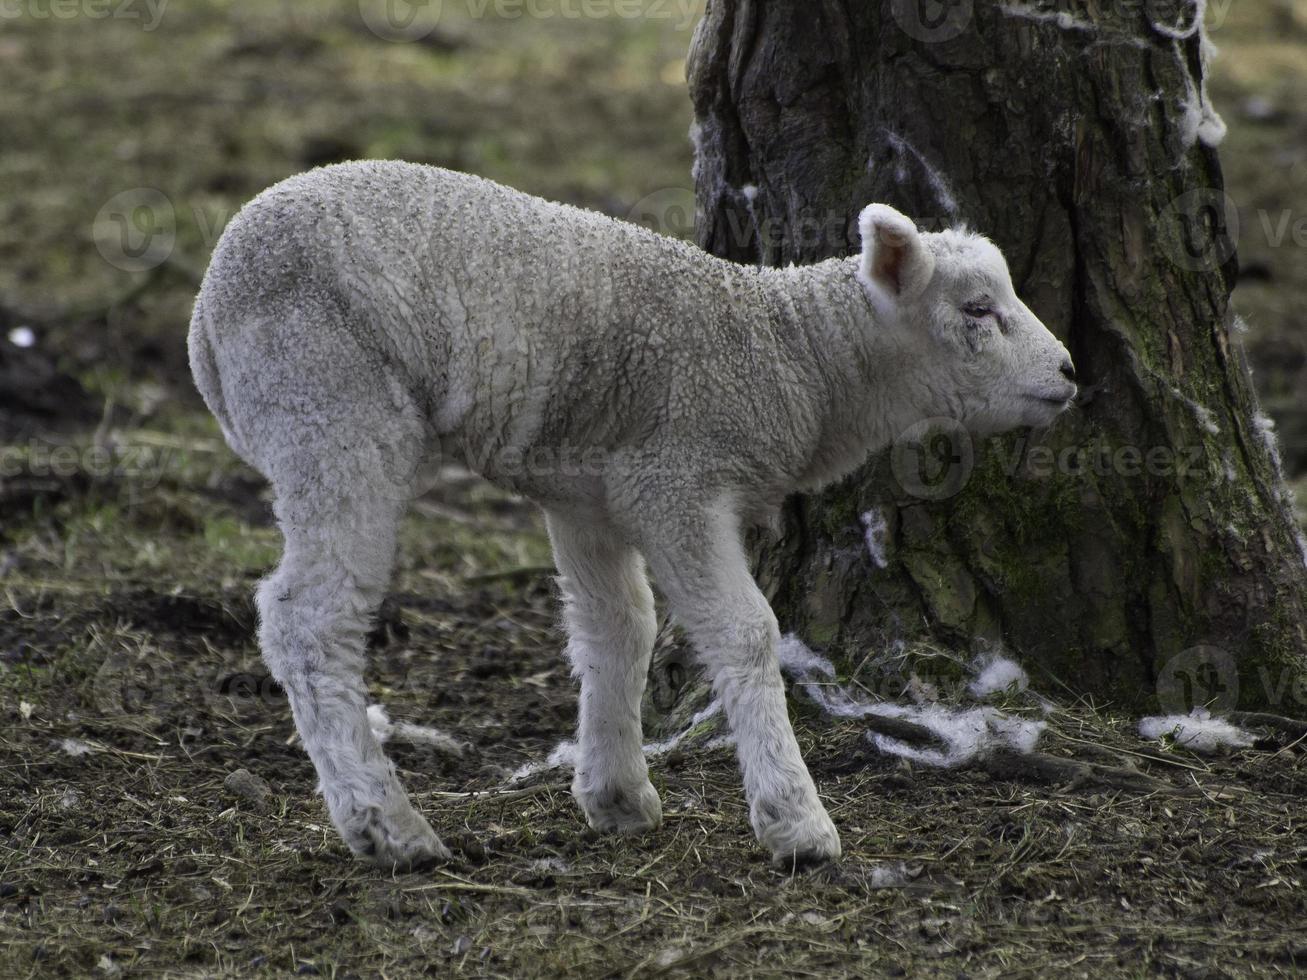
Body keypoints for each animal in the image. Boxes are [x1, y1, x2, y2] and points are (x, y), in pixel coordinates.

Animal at [189, 163, 1076, 872]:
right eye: (976, 310)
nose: (1069, 372)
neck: (796, 356)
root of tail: (205, 312)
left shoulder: (590, 492)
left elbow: (620, 627)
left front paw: (614, 792)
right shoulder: (677, 480)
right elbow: (745, 633)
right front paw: (795, 822)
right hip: (331, 410)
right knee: (308, 619)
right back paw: (387, 827)